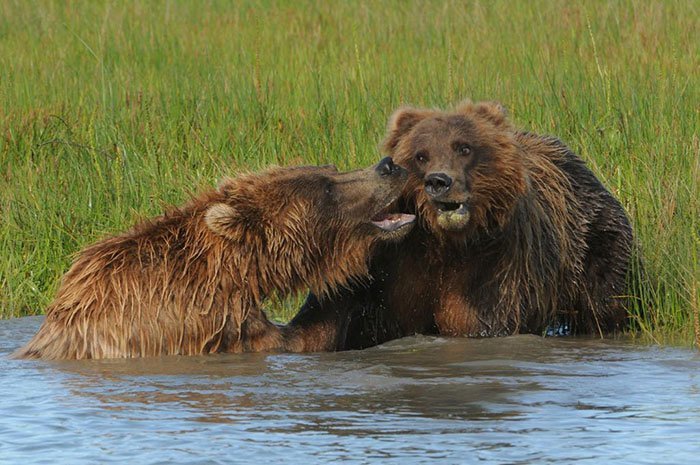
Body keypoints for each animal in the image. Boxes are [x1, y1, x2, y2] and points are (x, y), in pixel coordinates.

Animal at [288, 100, 636, 348]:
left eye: (464, 147)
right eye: (421, 155)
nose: (439, 181)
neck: (444, 243)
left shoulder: (493, 264)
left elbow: (477, 321)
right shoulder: (386, 260)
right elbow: (328, 316)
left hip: (594, 247)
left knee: (606, 305)